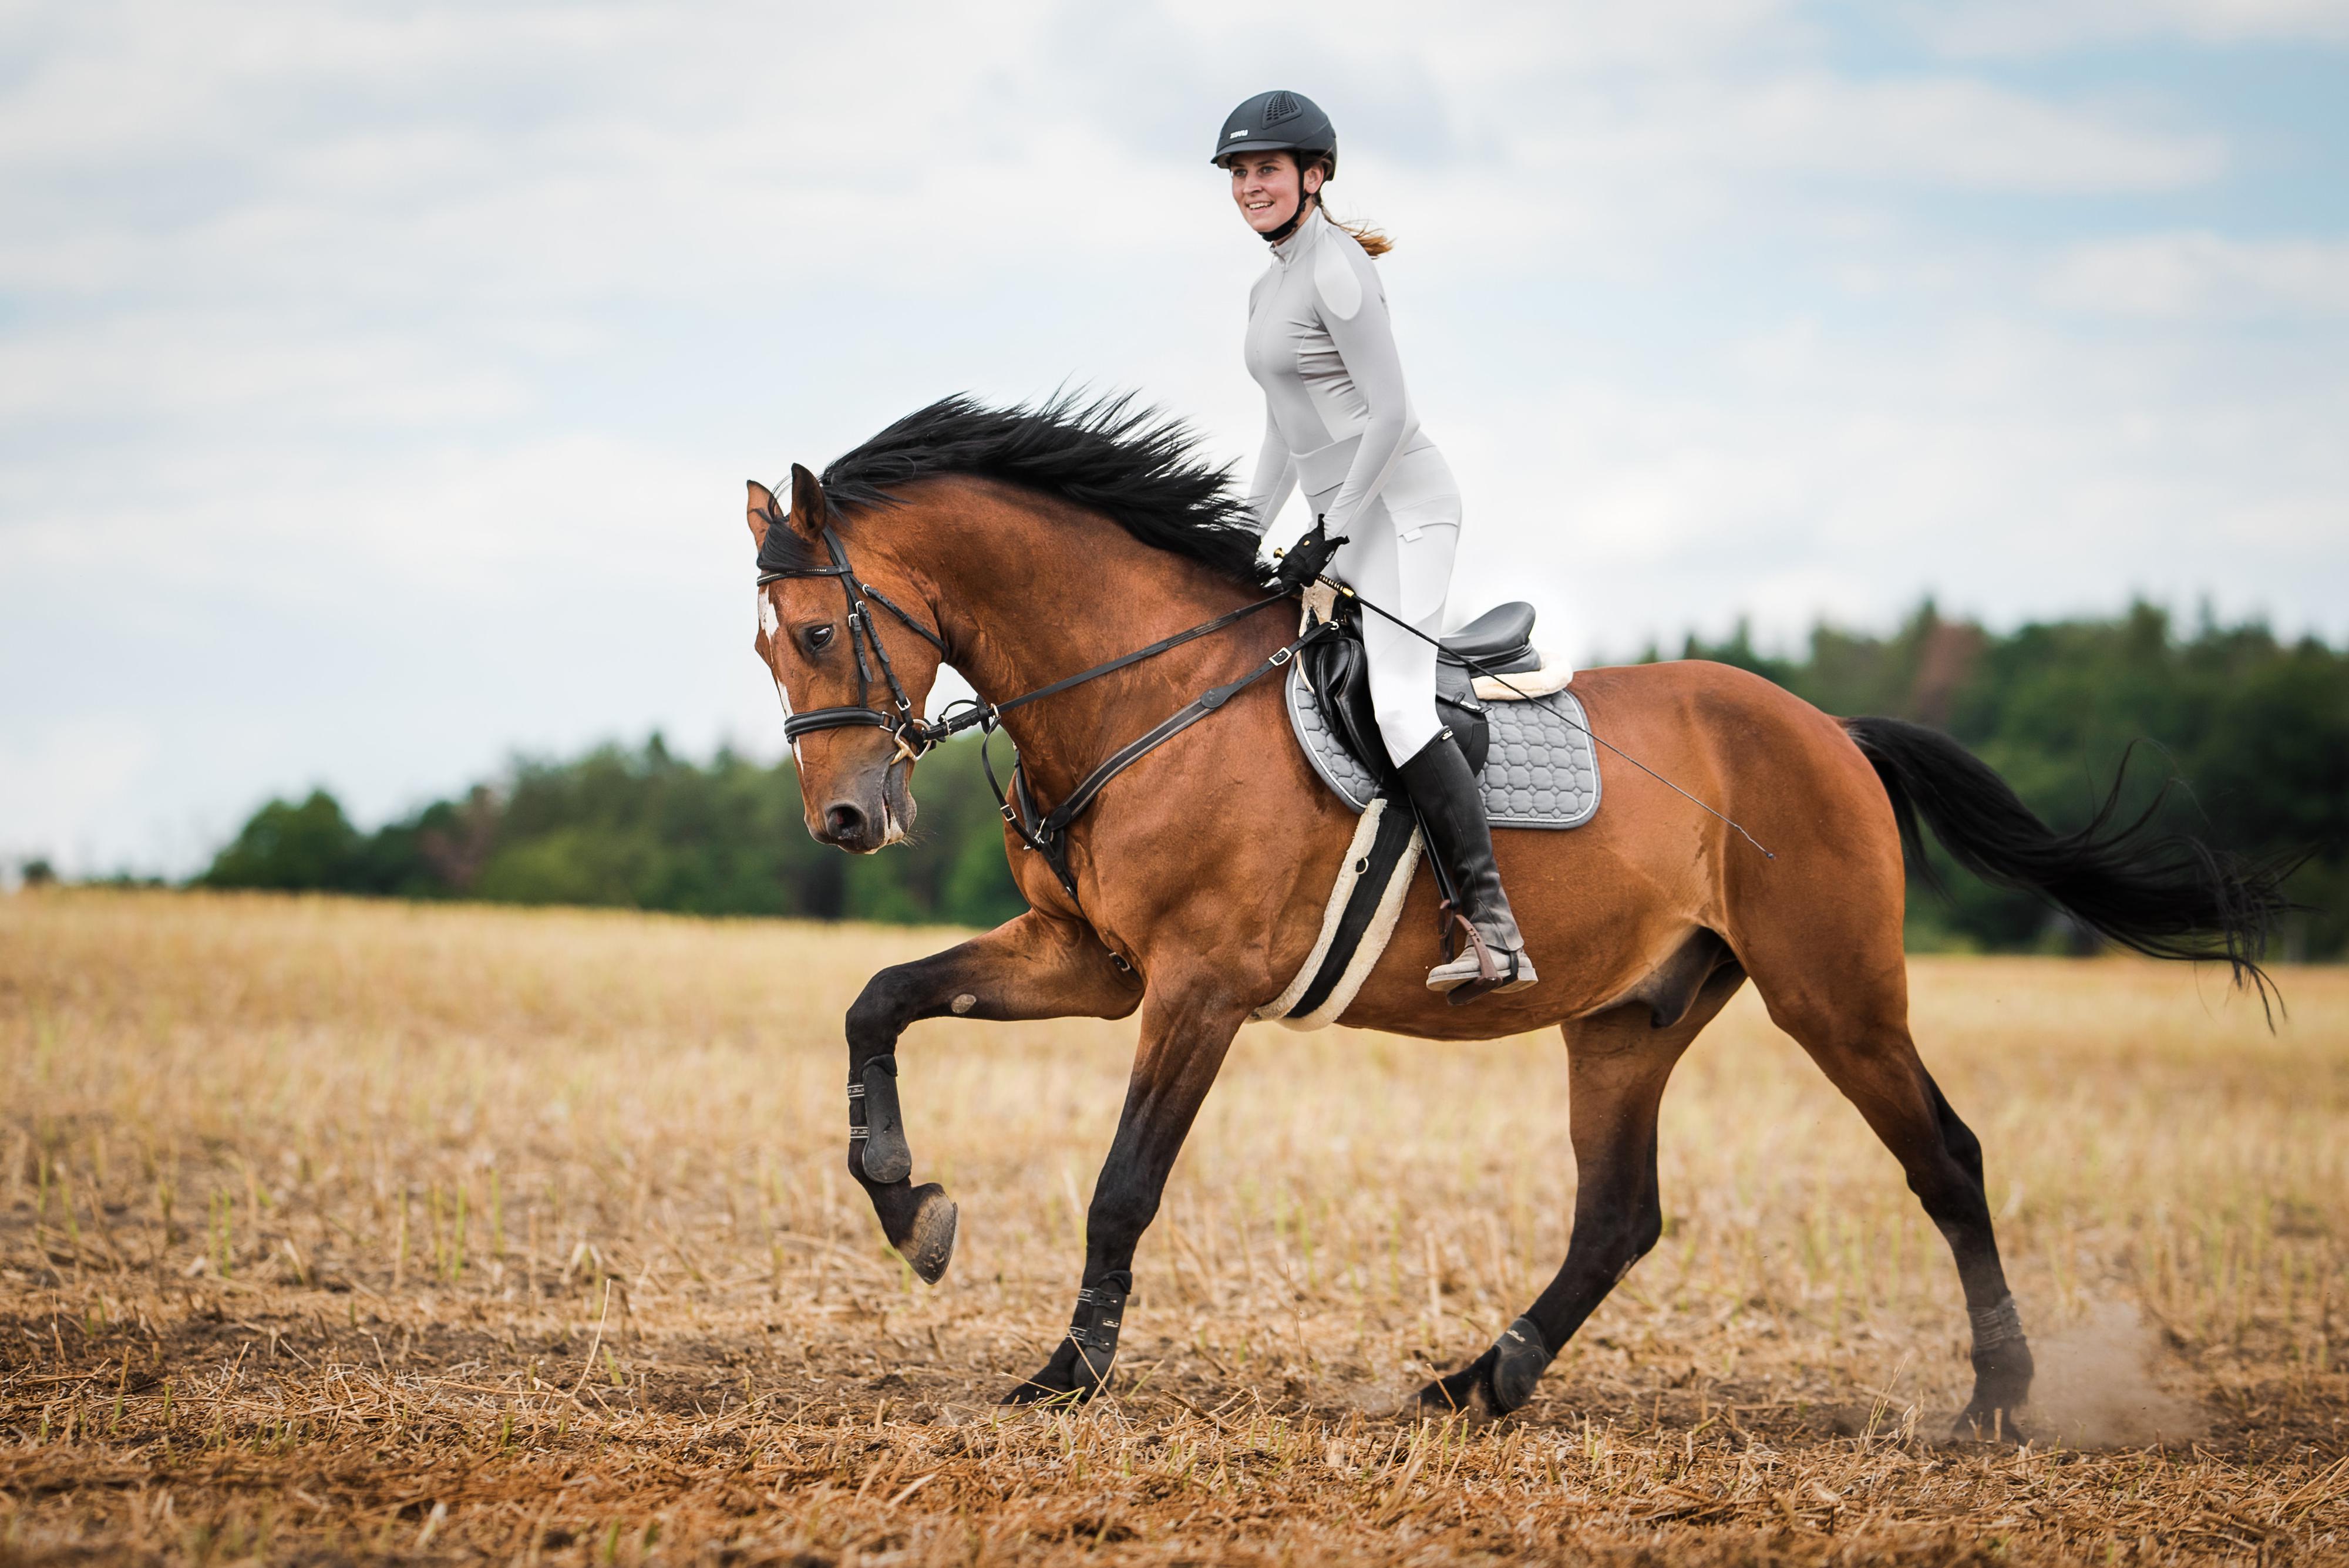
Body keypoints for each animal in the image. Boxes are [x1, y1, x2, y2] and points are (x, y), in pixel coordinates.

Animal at [743, 394, 2286, 1432]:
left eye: (818, 631)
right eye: (765, 647)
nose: (846, 820)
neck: (1138, 691)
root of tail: (1829, 730)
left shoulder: (1192, 988)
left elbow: (1124, 1182)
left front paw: (1065, 1374)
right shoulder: (1089, 961)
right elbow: (877, 999)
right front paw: (909, 1206)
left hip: (1833, 991)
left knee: (1945, 1160)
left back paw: (1996, 1404)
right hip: (1627, 1019)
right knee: (1617, 1217)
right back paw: (1478, 1382)